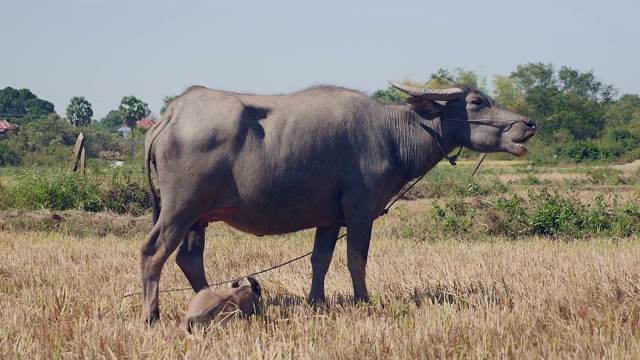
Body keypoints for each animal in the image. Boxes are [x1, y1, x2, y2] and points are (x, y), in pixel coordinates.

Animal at [140, 80, 536, 322]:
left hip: (199, 217)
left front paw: (317, 302)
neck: (391, 133)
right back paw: (151, 316)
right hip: (180, 208)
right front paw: (364, 301)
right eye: (477, 102)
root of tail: (171, 115)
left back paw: (217, 305)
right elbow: (355, 258)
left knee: (190, 259)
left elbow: (321, 260)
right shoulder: (360, 210)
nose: (528, 124)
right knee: (153, 252)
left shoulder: (329, 218)